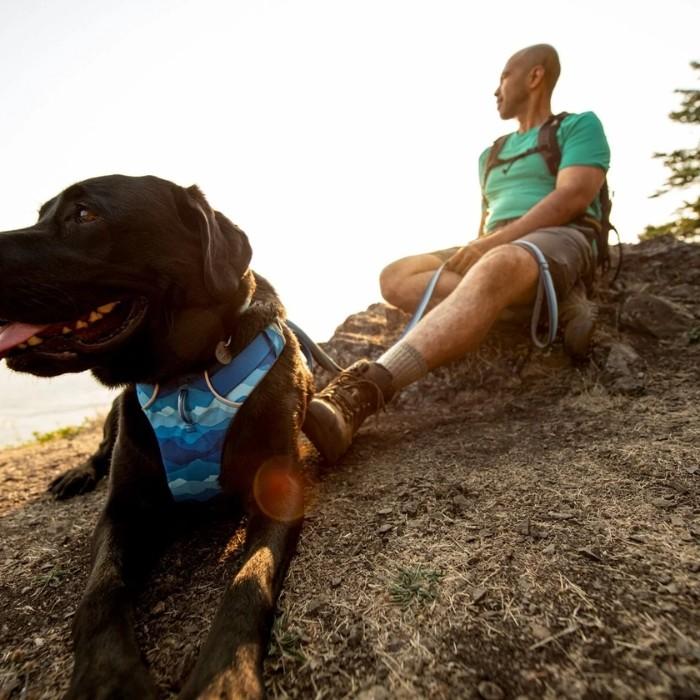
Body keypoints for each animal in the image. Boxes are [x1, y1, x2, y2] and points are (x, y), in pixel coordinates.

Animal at [0, 174, 312, 696]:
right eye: (41, 214)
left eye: (84, 214)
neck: (186, 376)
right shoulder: (124, 509)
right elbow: (99, 594)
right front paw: (108, 677)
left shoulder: (279, 487)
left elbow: (249, 580)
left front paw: (224, 681)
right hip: (114, 415)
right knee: (100, 448)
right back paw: (77, 474)